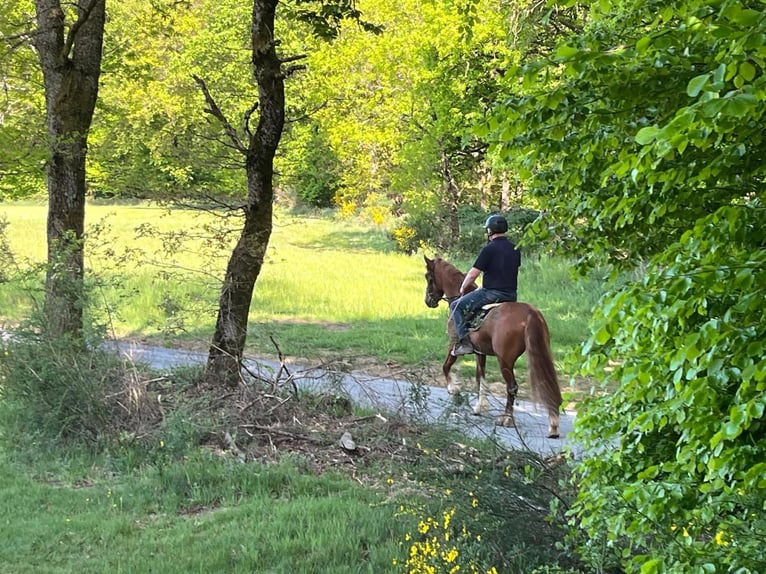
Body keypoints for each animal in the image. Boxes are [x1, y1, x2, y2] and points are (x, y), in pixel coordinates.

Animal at [423, 255, 562, 438]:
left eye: (428, 277)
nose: (428, 301)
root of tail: (529, 312)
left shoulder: (454, 344)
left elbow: (446, 366)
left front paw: (454, 389)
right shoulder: (480, 352)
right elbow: (480, 377)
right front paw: (480, 407)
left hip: (505, 360)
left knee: (512, 387)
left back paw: (507, 419)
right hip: (539, 352)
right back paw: (553, 425)